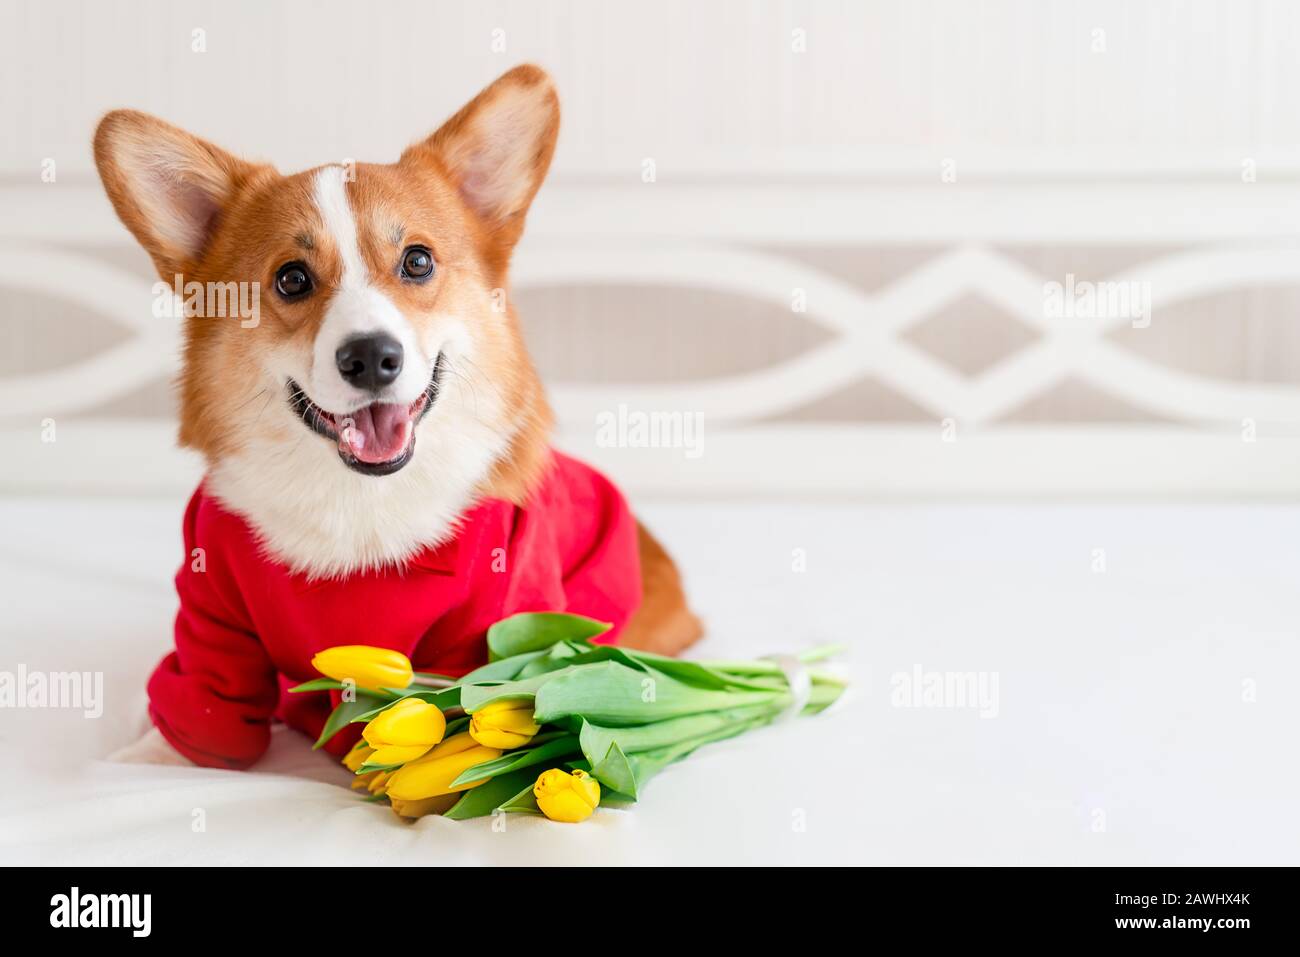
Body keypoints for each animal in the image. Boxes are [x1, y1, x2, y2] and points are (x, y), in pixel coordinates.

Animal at [98, 65, 702, 769]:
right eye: (292, 279)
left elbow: (469, 708)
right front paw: (141, 762)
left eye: (418, 261)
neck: (356, 498)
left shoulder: (502, 617)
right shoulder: (209, 616)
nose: (370, 358)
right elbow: (199, 710)